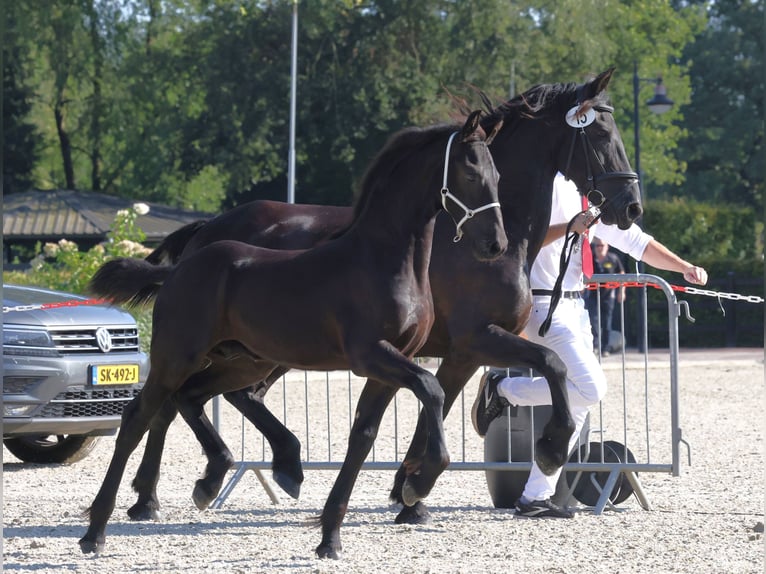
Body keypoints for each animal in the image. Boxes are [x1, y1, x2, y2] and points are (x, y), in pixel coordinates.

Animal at [82, 111, 510, 560]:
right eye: (469, 172)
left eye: (497, 174)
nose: (495, 244)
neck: (386, 262)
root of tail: (179, 268)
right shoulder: (372, 355)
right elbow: (432, 389)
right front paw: (416, 484)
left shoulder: (391, 365)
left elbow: (364, 436)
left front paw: (330, 538)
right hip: (176, 355)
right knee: (138, 417)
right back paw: (97, 530)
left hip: (241, 362)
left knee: (191, 398)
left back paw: (218, 477)